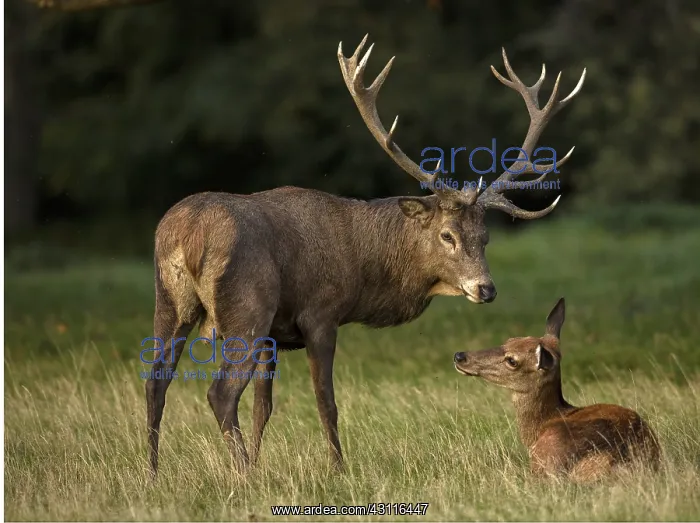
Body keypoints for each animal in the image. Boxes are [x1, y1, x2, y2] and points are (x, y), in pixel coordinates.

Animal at [145, 35, 586, 477]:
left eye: (486, 237)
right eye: (447, 235)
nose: (486, 288)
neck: (362, 267)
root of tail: (187, 235)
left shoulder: (274, 334)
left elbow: (263, 406)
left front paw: (260, 458)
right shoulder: (320, 314)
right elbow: (326, 402)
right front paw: (337, 469)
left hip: (170, 300)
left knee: (156, 381)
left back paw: (153, 472)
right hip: (246, 304)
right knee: (219, 392)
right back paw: (243, 475)